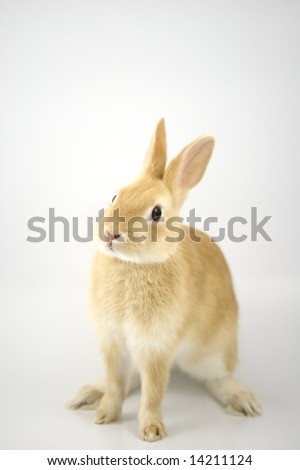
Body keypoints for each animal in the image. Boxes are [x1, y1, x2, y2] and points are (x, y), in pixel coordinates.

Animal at [68, 118, 260, 440]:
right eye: (115, 196)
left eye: (156, 213)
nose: (111, 233)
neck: (133, 265)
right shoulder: (113, 342)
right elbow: (117, 383)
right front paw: (105, 414)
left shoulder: (155, 346)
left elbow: (153, 391)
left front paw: (151, 430)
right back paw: (87, 394)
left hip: (213, 352)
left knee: (218, 378)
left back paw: (243, 401)